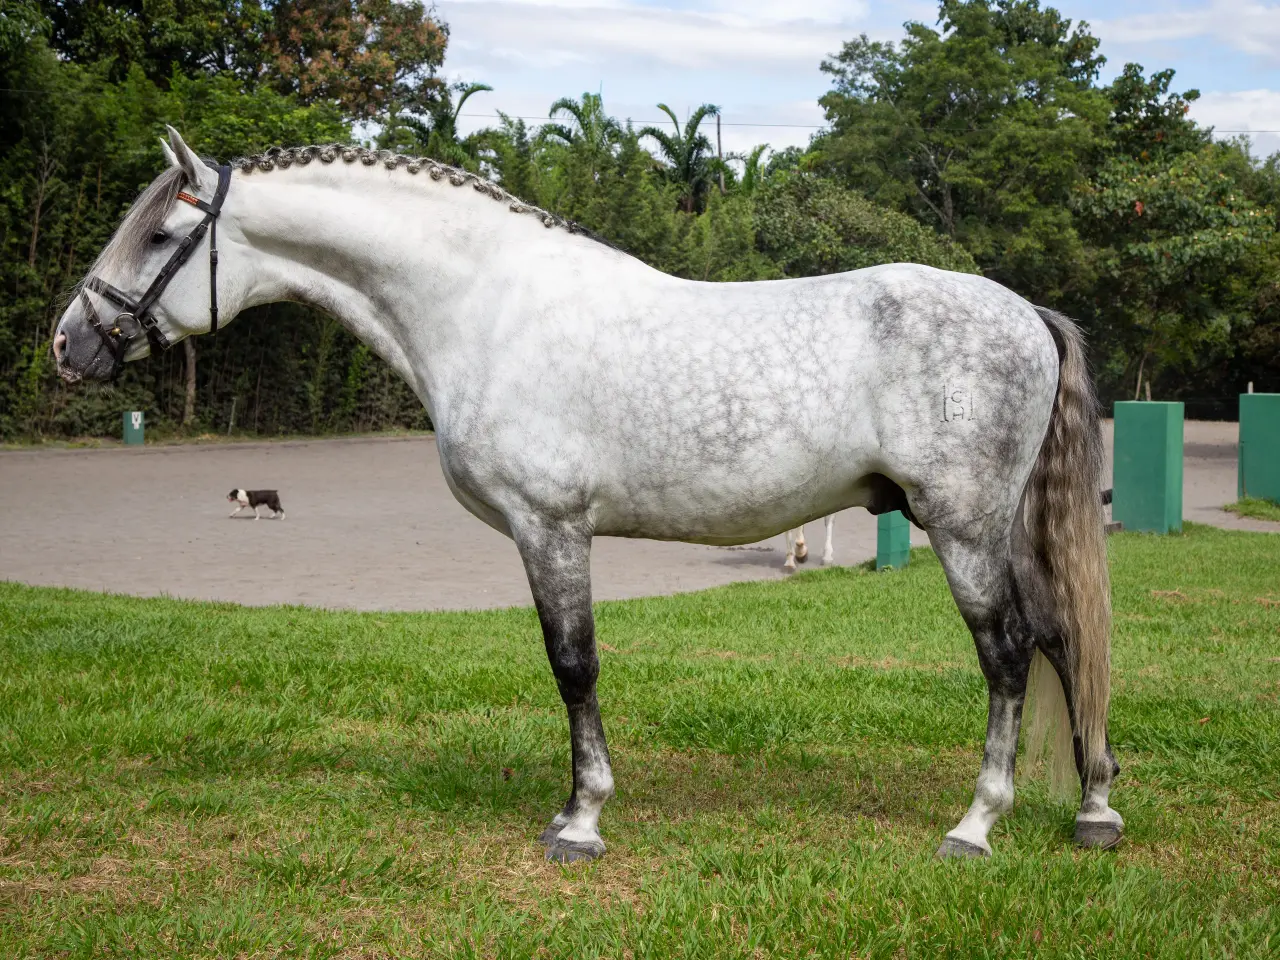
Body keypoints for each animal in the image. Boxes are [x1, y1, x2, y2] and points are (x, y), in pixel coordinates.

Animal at [53, 129, 1122, 862]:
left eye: (162, 233)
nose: (68, 343)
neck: (485, 306)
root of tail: (1023, 310)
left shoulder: (550, 529)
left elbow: (573, 665)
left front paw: (581, 819)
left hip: (963, 528)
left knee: (1008, 652)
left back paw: (977, 825)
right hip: (1002, 529)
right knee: (1062, 637)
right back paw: (1095, 808)